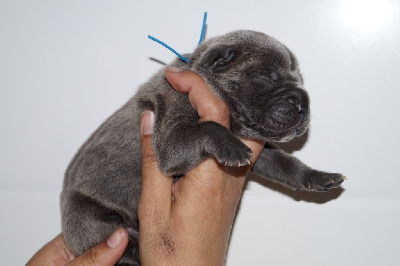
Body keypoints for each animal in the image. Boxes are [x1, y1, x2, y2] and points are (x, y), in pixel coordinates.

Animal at [61, 30, 346, 264]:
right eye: (265, 78)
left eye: (300, 81)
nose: (303, 101)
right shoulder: (171, 132)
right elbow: (208, 127)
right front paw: (231, 147)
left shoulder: (262, 152)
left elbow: (285, 162)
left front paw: (318, 177)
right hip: (91, 217)